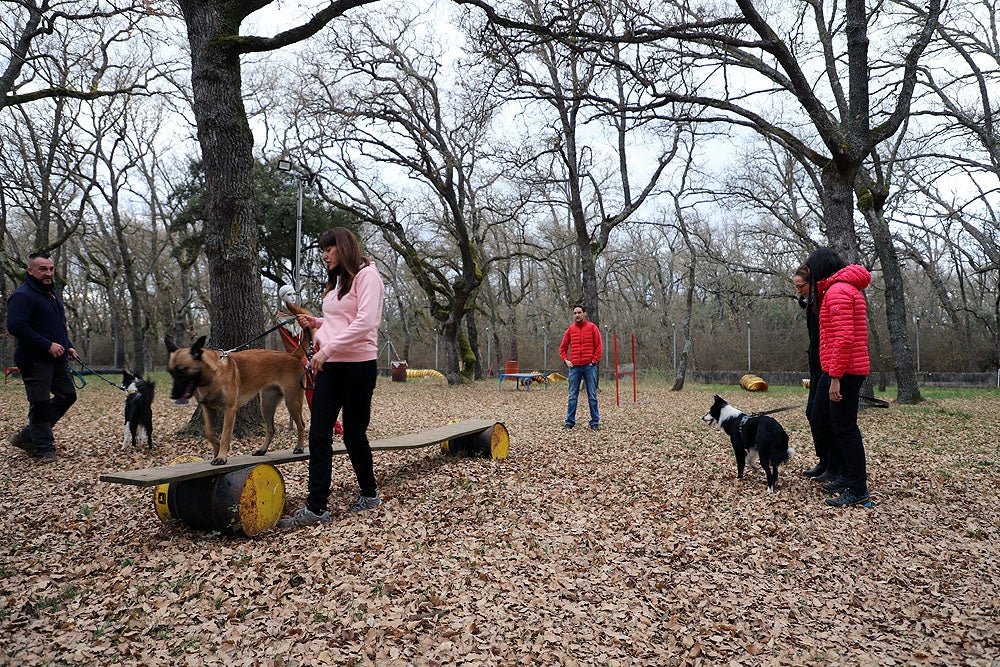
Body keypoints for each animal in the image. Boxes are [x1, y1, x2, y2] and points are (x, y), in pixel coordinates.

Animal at [164, 334, 306, 464]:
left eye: (182, 370)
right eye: (170, 372)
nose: (173, 396)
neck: (213, 375)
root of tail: (293, 355)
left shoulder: (230, 410)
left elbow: (225, 435)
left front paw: (221, 457)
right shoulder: (208, 409)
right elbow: (209, 433)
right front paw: (217, 450)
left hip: (292, 402)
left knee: (301, 425)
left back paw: (299, 447)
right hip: (266, 406)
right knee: (271, 429)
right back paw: (262, 450)